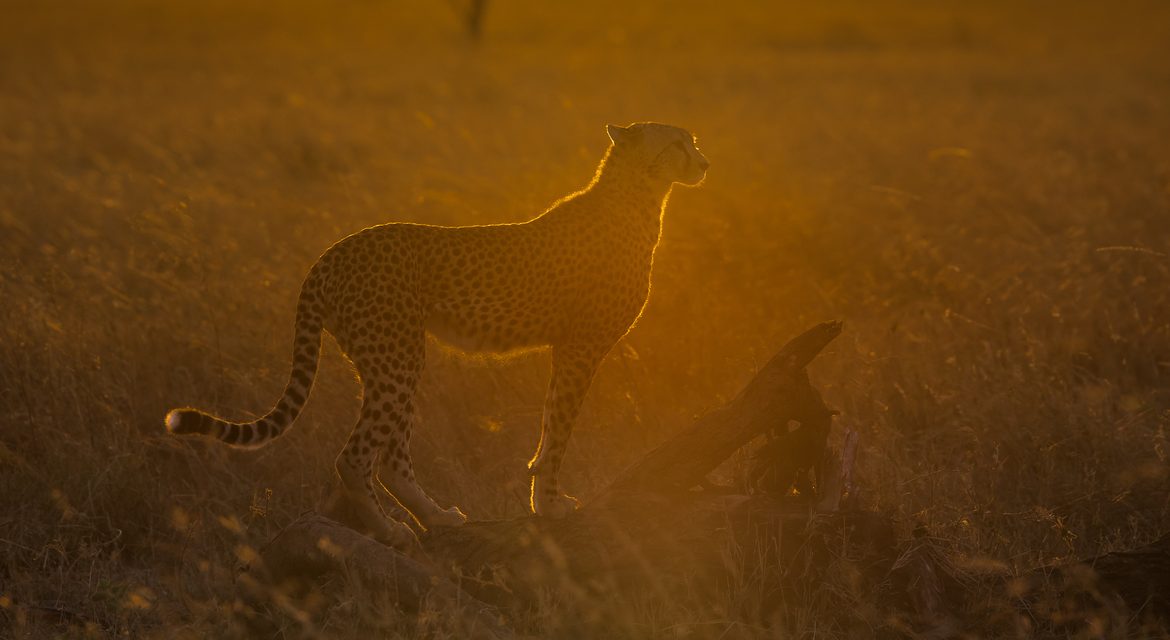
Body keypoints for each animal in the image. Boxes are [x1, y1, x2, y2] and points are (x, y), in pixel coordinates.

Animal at [165, 122, 709, 546]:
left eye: (692, 141)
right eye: (678, 143)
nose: (704, 162)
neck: (639, 194)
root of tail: (331, 252)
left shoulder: (567, 349)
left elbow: (549, 423)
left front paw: (541, 497)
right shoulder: (581, 347)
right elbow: (559, 431)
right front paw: (551, 504)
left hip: (393, 357)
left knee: (390, 456)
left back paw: (435, 516)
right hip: (398, 357)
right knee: (355, 456)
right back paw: (390, 531)